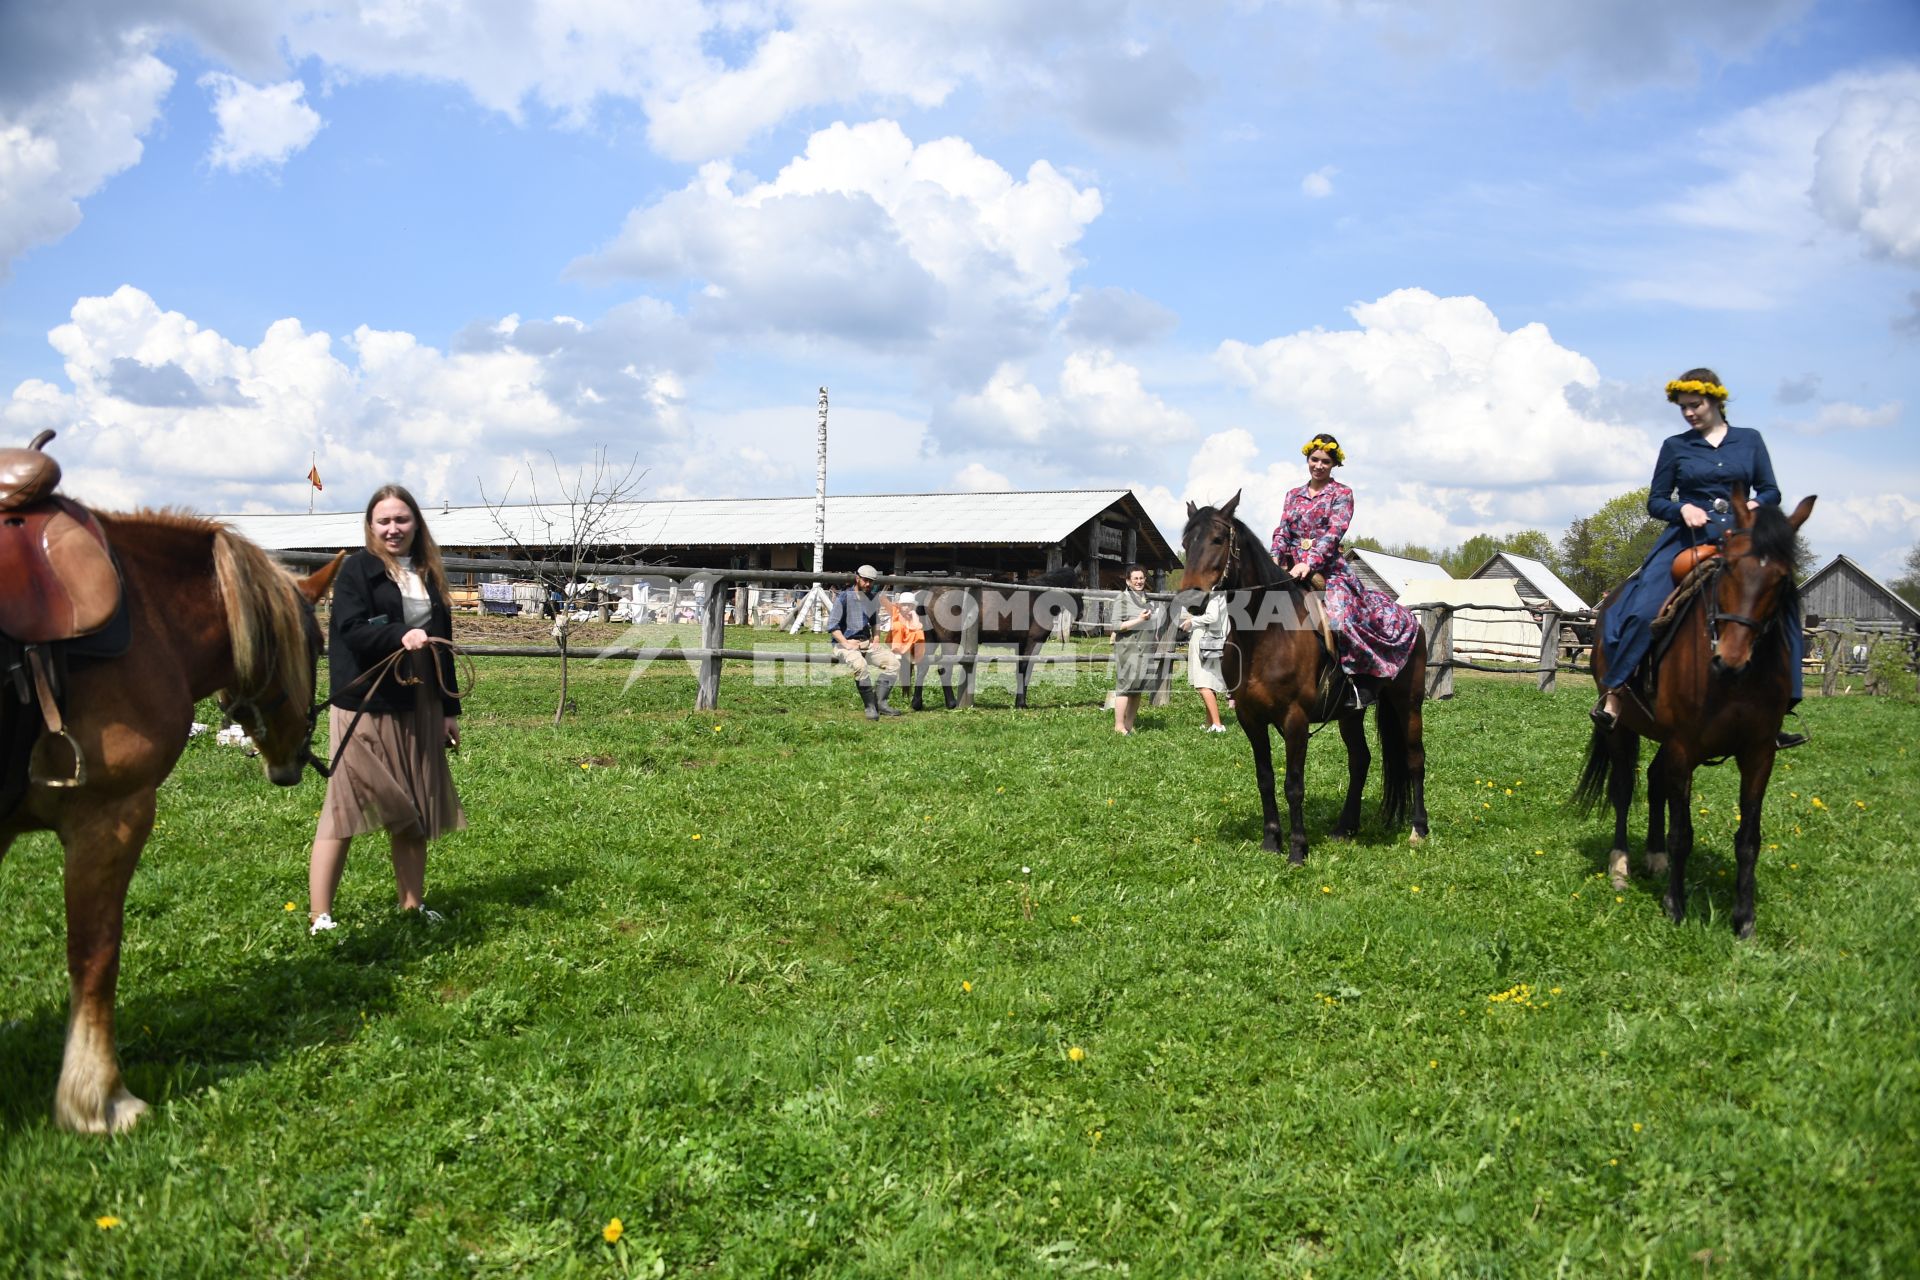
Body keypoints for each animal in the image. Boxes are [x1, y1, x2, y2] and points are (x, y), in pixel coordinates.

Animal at [0, 510, 341, 1128]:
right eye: (317, 643)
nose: (292, 762)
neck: (145, 614)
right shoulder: (112, 816)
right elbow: (95, 952)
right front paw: (100, 1098)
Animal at [1175, 495, 1436, 867]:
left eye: (1217, 539)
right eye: (1186, 543)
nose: (1190, 600)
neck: (1266, 635)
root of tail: (1411, 619)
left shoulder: (1295, 719)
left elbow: (1293, 784)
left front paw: (1298, 848)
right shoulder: (1250, 719)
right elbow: (1265, 779)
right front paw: (1271, 841)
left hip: (1408, 704)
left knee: (1415, 759)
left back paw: (1418, 829)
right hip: (1351, 714)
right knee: (1360, 760)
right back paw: (1345, 827)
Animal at [1574, 485, 1812, 936]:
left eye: (1781, 577)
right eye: (1730, 567)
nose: (1730, 660)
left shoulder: (1759, 754)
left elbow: (1748, 838)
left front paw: (1744, 920)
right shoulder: (1684, 747)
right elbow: (1682, 832)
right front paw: (1675, 906)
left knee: (1653, 781)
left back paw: (1655, 857)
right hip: (1624, 729)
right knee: (1624, 788)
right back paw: (1621, 865)